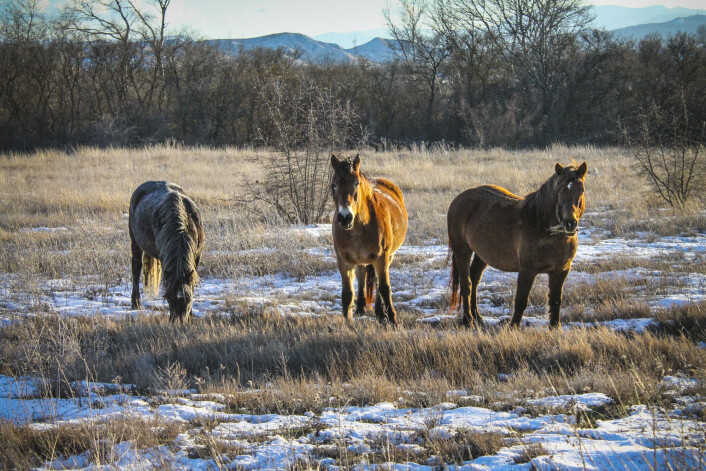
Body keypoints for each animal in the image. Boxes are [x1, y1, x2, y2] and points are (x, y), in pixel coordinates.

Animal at [129, 182, 204, 324]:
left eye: (187, 299)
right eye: (169, 298)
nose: (178, 321)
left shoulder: (197, 257)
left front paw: (191, 315)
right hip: (135, 243)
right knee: (136, 269)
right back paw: (135, 303)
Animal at [330, 155, 408, 324]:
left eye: (356, 183)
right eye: (334, 185)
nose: (345, 218)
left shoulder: (382, 257)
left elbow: (385, 288)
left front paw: (393, 319)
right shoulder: (343, 261)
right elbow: (347, 293)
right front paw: (348, 322)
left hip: (388, 256)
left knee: (378, 282)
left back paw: (380, 312)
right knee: (362, 273)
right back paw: (360, 307)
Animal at [448, 164, 584, 330]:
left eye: (581, 190)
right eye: (559, 191)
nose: (570, 223)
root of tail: (459, 199)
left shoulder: (561, 271)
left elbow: (555, 300)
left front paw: (555, 328)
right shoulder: (527, 270)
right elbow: (521, 300)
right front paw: (513, 327)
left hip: (482, 254)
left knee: (474, 279)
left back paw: (477, 317)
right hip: (462, 250)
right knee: (466, 283)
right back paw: (468, 320)